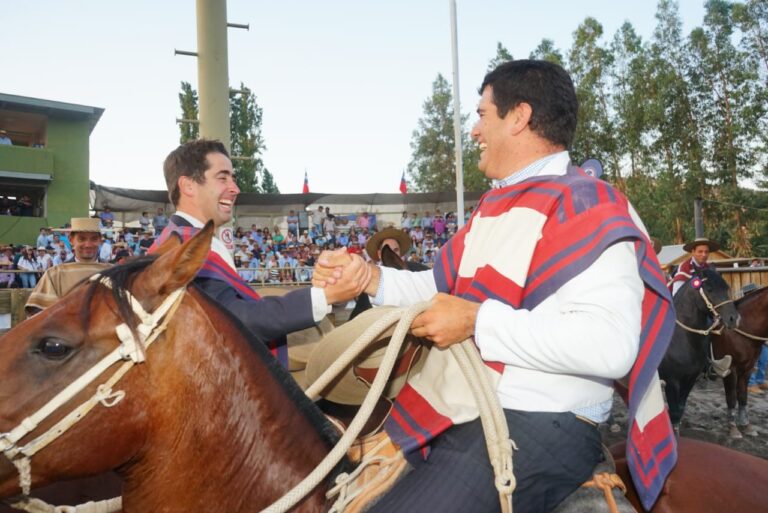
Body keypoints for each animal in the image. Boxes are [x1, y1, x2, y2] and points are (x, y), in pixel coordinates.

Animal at [712, 284, 768, 436]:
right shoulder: (730, 369)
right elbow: (731, 398)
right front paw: (732, 427)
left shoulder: (747, 368)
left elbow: (742, 395)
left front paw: (745, 424)